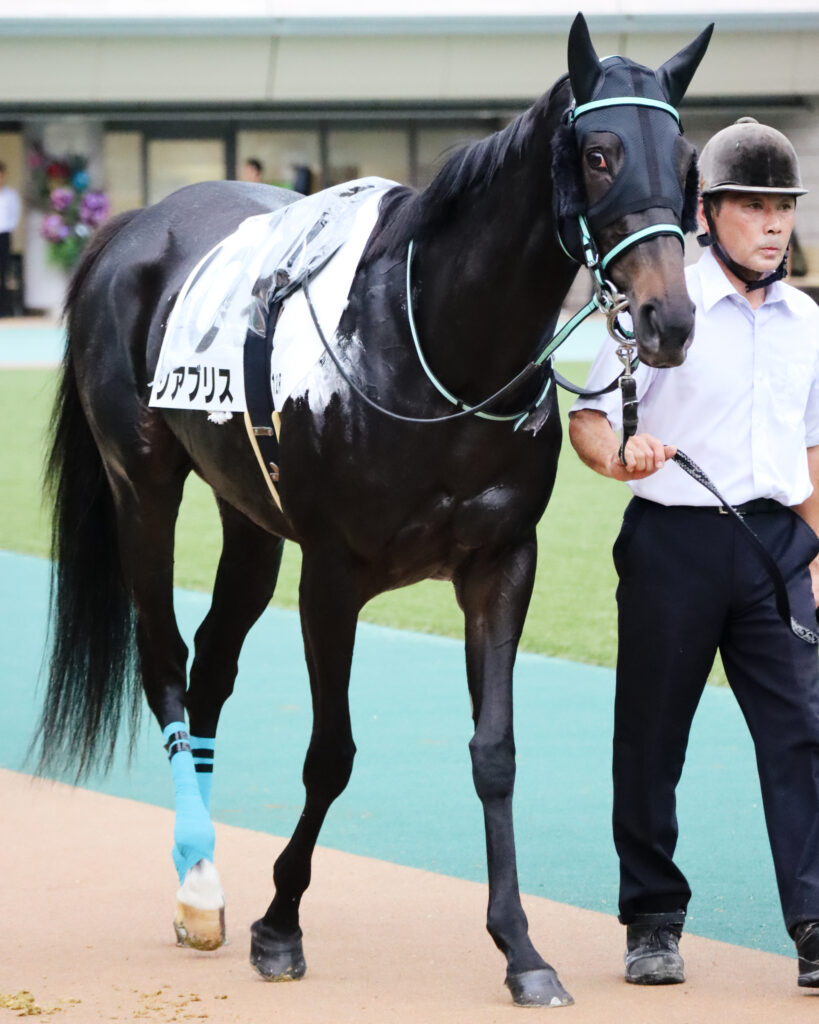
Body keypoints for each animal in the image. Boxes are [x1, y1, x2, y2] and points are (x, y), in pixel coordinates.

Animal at [37, 13, 711, 1009]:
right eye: (598, 154)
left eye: (689, 160)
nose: (670, 320)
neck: (438, 349)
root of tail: (135, 224)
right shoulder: (332, 577)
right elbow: (332, 752)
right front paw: (281, 924)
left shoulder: (501, 565)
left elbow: (495, 752)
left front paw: (520, 948)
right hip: (143, 490)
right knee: (163, 661)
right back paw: (199, 885)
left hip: (249, 517)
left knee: (210, 669)